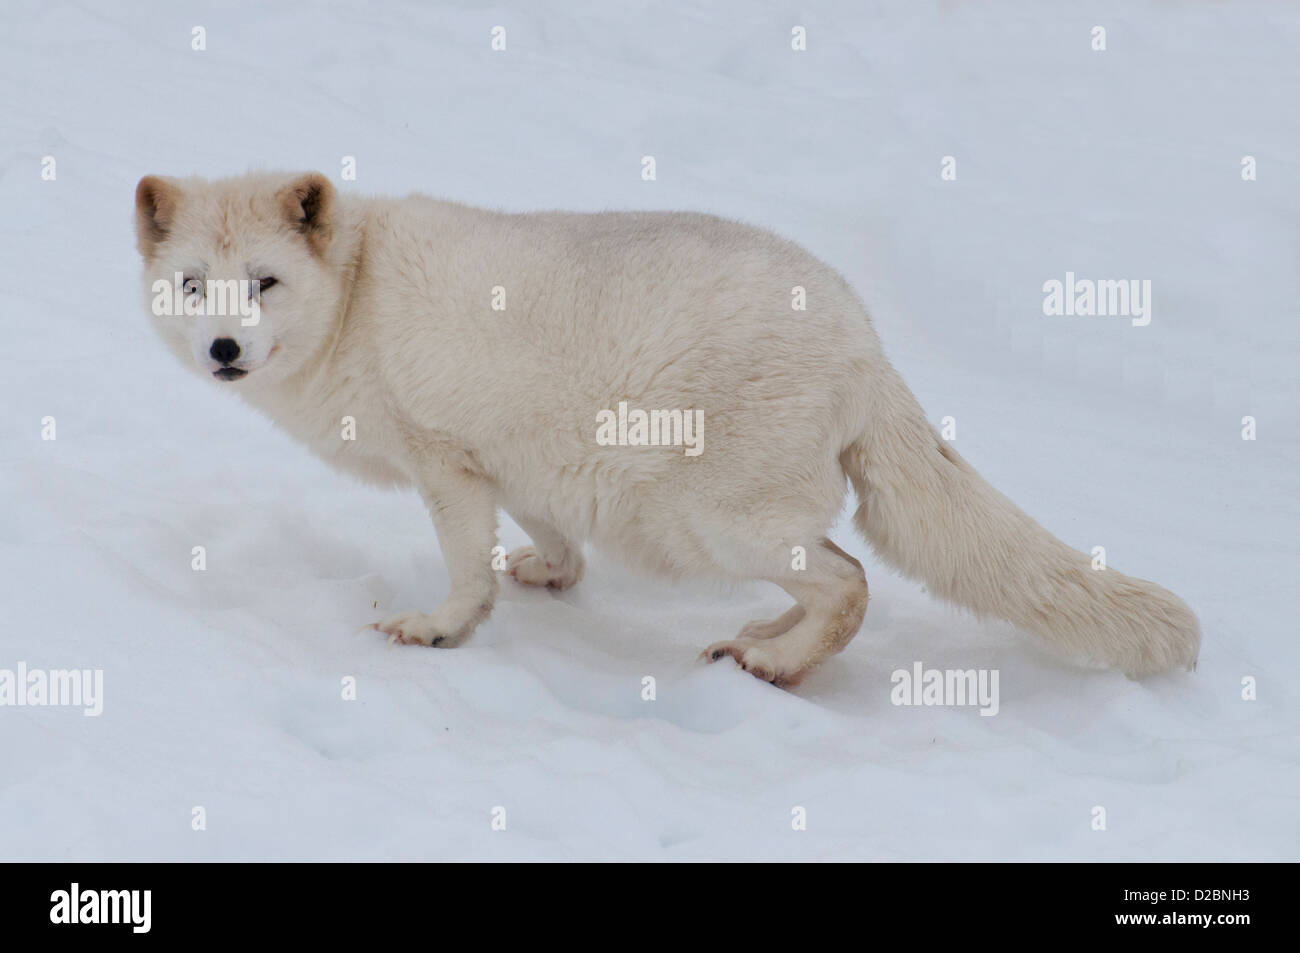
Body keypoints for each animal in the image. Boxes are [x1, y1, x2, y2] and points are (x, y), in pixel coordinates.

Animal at [134, 171, 1200, 687]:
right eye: (193, 284)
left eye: (264, 282)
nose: (224, 348)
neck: (357, 294)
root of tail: (863, 341)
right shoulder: (522, 465)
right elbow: (549, 536)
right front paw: (549, 575)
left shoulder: (447, 463)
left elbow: (464, 569)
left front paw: (441, 629)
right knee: (832, 581)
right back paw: (771, 634)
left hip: (713, 523)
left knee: (850, 580)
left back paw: (775, 664)